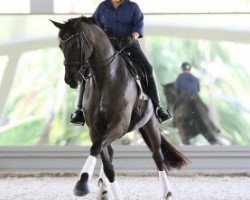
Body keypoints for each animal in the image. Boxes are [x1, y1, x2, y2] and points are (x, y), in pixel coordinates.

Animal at [50, 16, 188, 199]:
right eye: (61, 46)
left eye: (77, 45)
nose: (70, 79)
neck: (105, 78)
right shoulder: (95, 130)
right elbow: (104, 160)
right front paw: (97, 186)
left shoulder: (119, 125)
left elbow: (97, 148)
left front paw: (82, 183)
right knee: (110, 153)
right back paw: (103, 190)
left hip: (150, 122)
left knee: (158, 156)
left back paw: (168, 193)